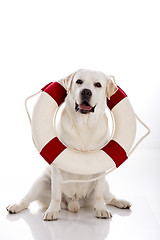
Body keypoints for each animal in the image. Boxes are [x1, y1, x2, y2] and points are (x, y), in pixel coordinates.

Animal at [6, 69, 131, 219]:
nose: (86, 92)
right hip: (41, 182)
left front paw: (101, 209)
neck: (84, 126)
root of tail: (74, 203)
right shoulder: (56, 166)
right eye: (79, 81)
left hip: (104, 186)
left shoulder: (101, 171)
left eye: (98, 85)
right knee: (27, 199)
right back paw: (15, 206)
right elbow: (55, 195)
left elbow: (99, 195)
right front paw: (52, 211)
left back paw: (122, 202)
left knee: (109, 197)